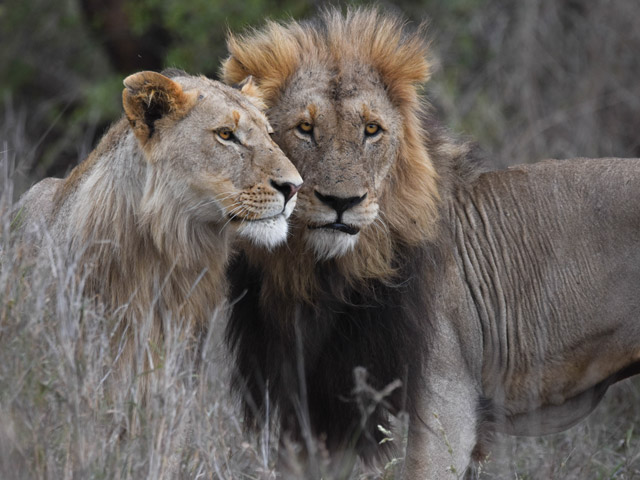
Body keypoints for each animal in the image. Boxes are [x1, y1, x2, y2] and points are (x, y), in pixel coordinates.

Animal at [222, 8, 640, 480]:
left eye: (371, 130)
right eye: (305, 128)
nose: (342, 202)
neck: (320, 278)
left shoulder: (448, 403)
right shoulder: (311, 415)